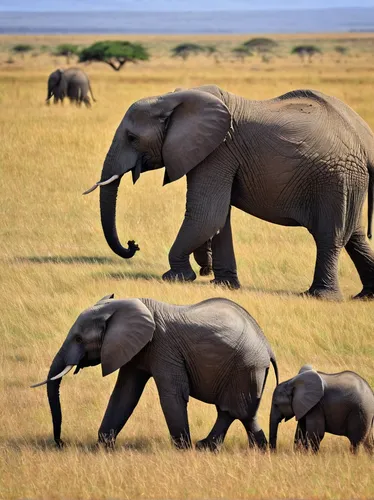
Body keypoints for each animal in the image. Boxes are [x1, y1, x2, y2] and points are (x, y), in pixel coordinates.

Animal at [31, 294, 278, 452]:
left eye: (79, 339)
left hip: (244, 367)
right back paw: (251, 449)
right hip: (246, 370)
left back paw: (204, 447)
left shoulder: (162, 346)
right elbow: (124, 394)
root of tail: (267, 346)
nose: (60, 443)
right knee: (239, 412)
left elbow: (172, 395)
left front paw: (182, 450)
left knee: (233, 410)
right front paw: (101, 448)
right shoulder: (135, 349)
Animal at [84, 85, 374, 300]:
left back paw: (319, 296)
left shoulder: (217, 152)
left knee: (330, 236)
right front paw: (222, 285)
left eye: (132, 138)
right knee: (355, 236)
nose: (133, 244)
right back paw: (365, 296)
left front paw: (176, 278)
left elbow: (206, 214)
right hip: (348, 180)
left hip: (337, 178)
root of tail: (364, 138)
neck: (173, 98)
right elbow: (219, 219)